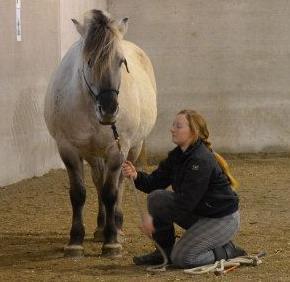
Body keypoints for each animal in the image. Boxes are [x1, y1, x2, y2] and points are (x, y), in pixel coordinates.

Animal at [43, 9, 156, 258]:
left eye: (121, 62)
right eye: (89, 61)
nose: (109, 109)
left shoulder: (117, 149)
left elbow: (111, 192)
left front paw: (111, 242)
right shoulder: (68, 149)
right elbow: (79, 194)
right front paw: (75, 241)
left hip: (132, 148)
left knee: (119, 183)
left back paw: (117, 227)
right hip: (93, 154)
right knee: (97, 181)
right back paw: (100, 227)